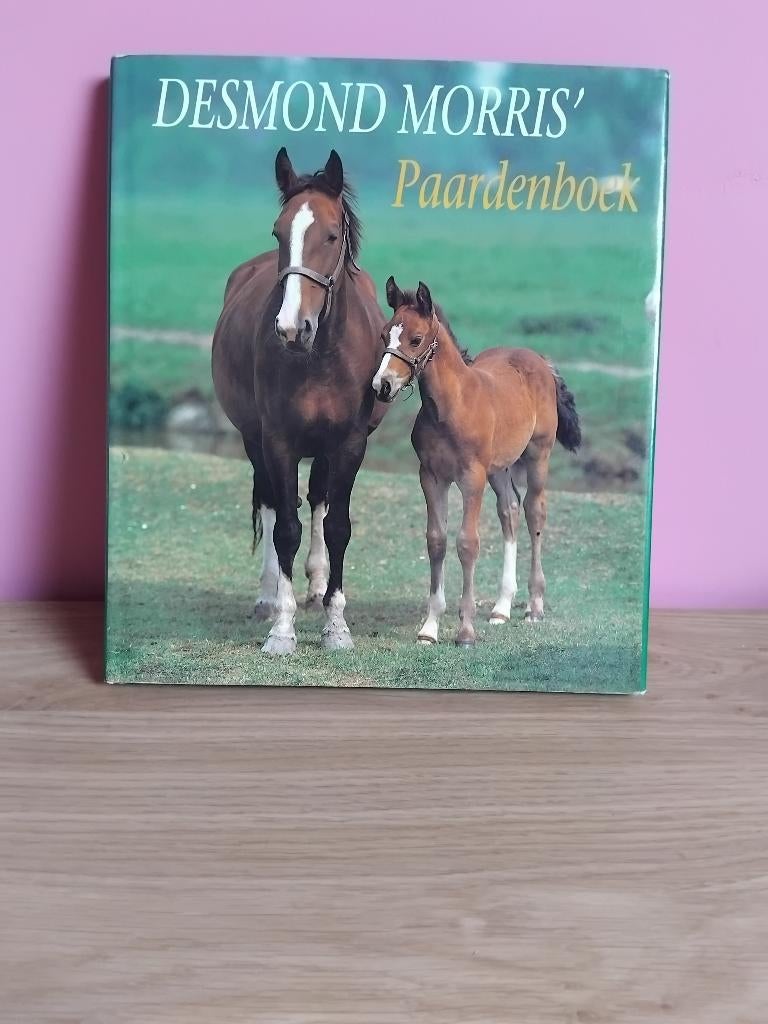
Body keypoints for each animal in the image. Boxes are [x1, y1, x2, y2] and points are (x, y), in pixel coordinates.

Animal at [212, 148, 387, 655]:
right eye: (278, 231)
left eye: (330, 235)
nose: (292, 328)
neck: (321, 355)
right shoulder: (278, 442)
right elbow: (286, 527)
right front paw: (282, 629)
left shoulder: (348, 444)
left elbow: (337, 526)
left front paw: (336, 625)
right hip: (253, 441)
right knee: (274, 507)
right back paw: (270, 596)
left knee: (319, 502)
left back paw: (316, 584)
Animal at [372, 277, 582, 647]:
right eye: (385, 335)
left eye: (416, 339)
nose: (382, 385)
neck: (450, 407)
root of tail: (540, 360)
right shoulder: (431, 476)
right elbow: (437, 540)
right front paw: (429, 628)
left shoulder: (472, 477)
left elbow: (467, 543)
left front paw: (466, 631)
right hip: (499, 468)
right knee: (509, 511)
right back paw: (501, 608)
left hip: (537, 455)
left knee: (534, 511)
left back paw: (534, 607)